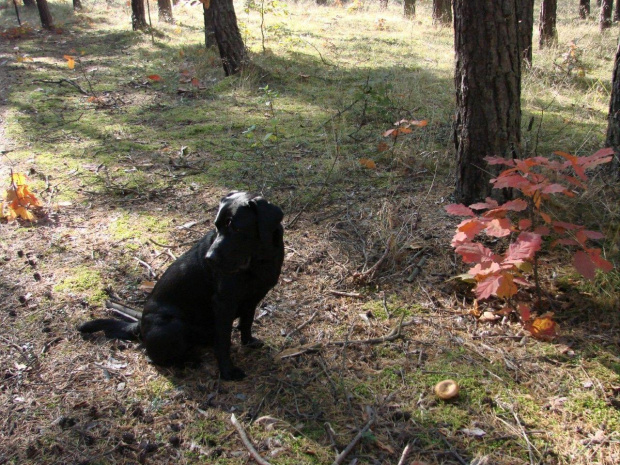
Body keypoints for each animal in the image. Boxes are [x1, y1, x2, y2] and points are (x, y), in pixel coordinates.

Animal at [78, 190, 286, 378]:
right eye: (217, 227)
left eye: (236, 229)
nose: (209, 258)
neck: (259, 261)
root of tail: (140, 325)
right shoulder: (223, 304)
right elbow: (224, 341)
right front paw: (227, 372)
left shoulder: (253, 297)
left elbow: (246, 322)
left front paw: (248, 342)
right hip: (173, 325)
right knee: (155, 357)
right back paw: (190, 360)